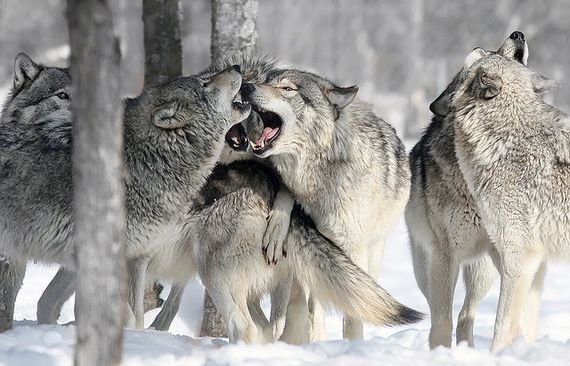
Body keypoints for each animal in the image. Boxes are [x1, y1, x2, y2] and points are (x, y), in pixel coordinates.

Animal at [0, 52, 248, 332]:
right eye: (204, 84)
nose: (237, 66)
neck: (146, 157)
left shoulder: (137, 259)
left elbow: (136, 316)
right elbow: (125, 316)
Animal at [240, 64, 408, 342]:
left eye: (287, 88)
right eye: (267, 81)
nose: (245, 86)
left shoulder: (351, 247)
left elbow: (354, 312)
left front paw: (352, 344)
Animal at [404, 32, 528, 348]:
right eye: (484, 54)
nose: (517, 34)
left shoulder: (506, 251)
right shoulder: (445, 255)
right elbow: (441, 319)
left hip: (482, 270)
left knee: (466, 314)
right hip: (426, 268)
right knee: (441, 310)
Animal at [450, 45, 560, 352]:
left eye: (482, 59)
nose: (478, 47)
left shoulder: (519, 255)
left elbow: (502, 324)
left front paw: (496, 355)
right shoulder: (532, 261)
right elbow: (524, 323)